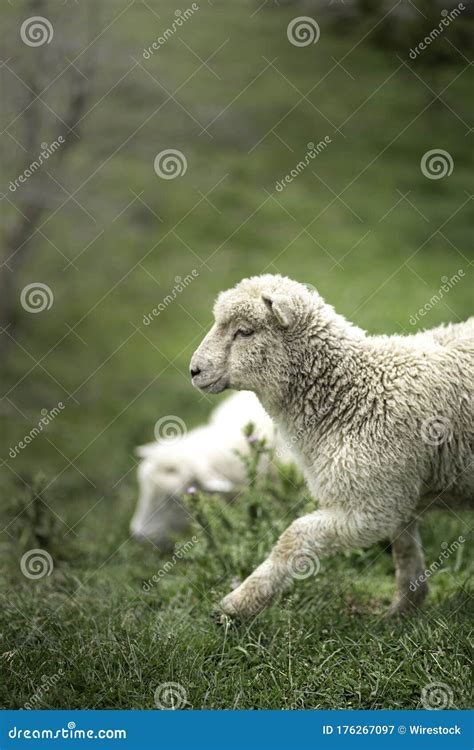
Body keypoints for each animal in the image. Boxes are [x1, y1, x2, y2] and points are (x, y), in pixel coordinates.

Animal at [190, 274, 474, 620]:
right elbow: (404, 551)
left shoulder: (371, 507)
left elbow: (294, 536)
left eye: (245, 331)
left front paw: (239, 603)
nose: (194, 371)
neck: (352, 393)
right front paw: (402, 610)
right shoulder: (394, 493)